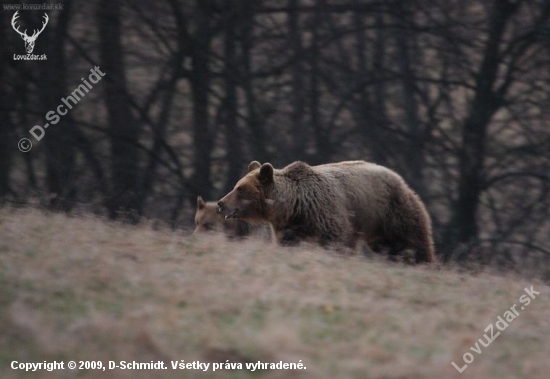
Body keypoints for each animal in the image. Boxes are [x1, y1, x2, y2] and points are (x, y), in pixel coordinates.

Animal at [218, 160, 438, 264]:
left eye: (240, 189)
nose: (221, 203)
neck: (294, 207)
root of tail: (400, 179)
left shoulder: (326, 214)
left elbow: (338, 241)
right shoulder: (289, 227)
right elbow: (288, 242)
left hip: (391, 211)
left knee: (410, 240)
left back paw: (422, 261)